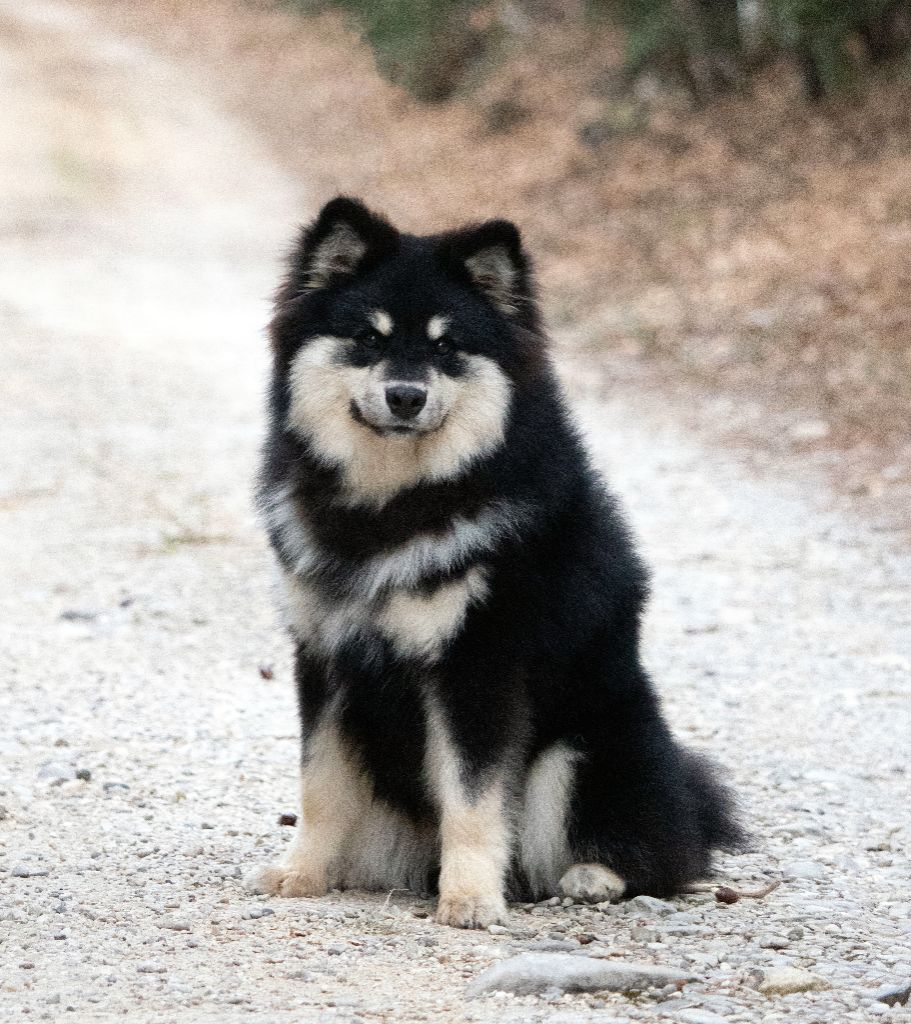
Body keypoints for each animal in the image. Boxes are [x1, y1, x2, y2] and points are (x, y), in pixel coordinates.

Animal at [244, 197, 741, 929]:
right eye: (368, 338)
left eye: (447, 347)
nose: (405, 395)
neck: (394, 500)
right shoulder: (327, 659)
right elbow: (320, 785)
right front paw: (300, 873)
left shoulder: (476, 666)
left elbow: (472, 800)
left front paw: (471, 898)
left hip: (585, 747)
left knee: (662, 856)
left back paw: (593, 875)